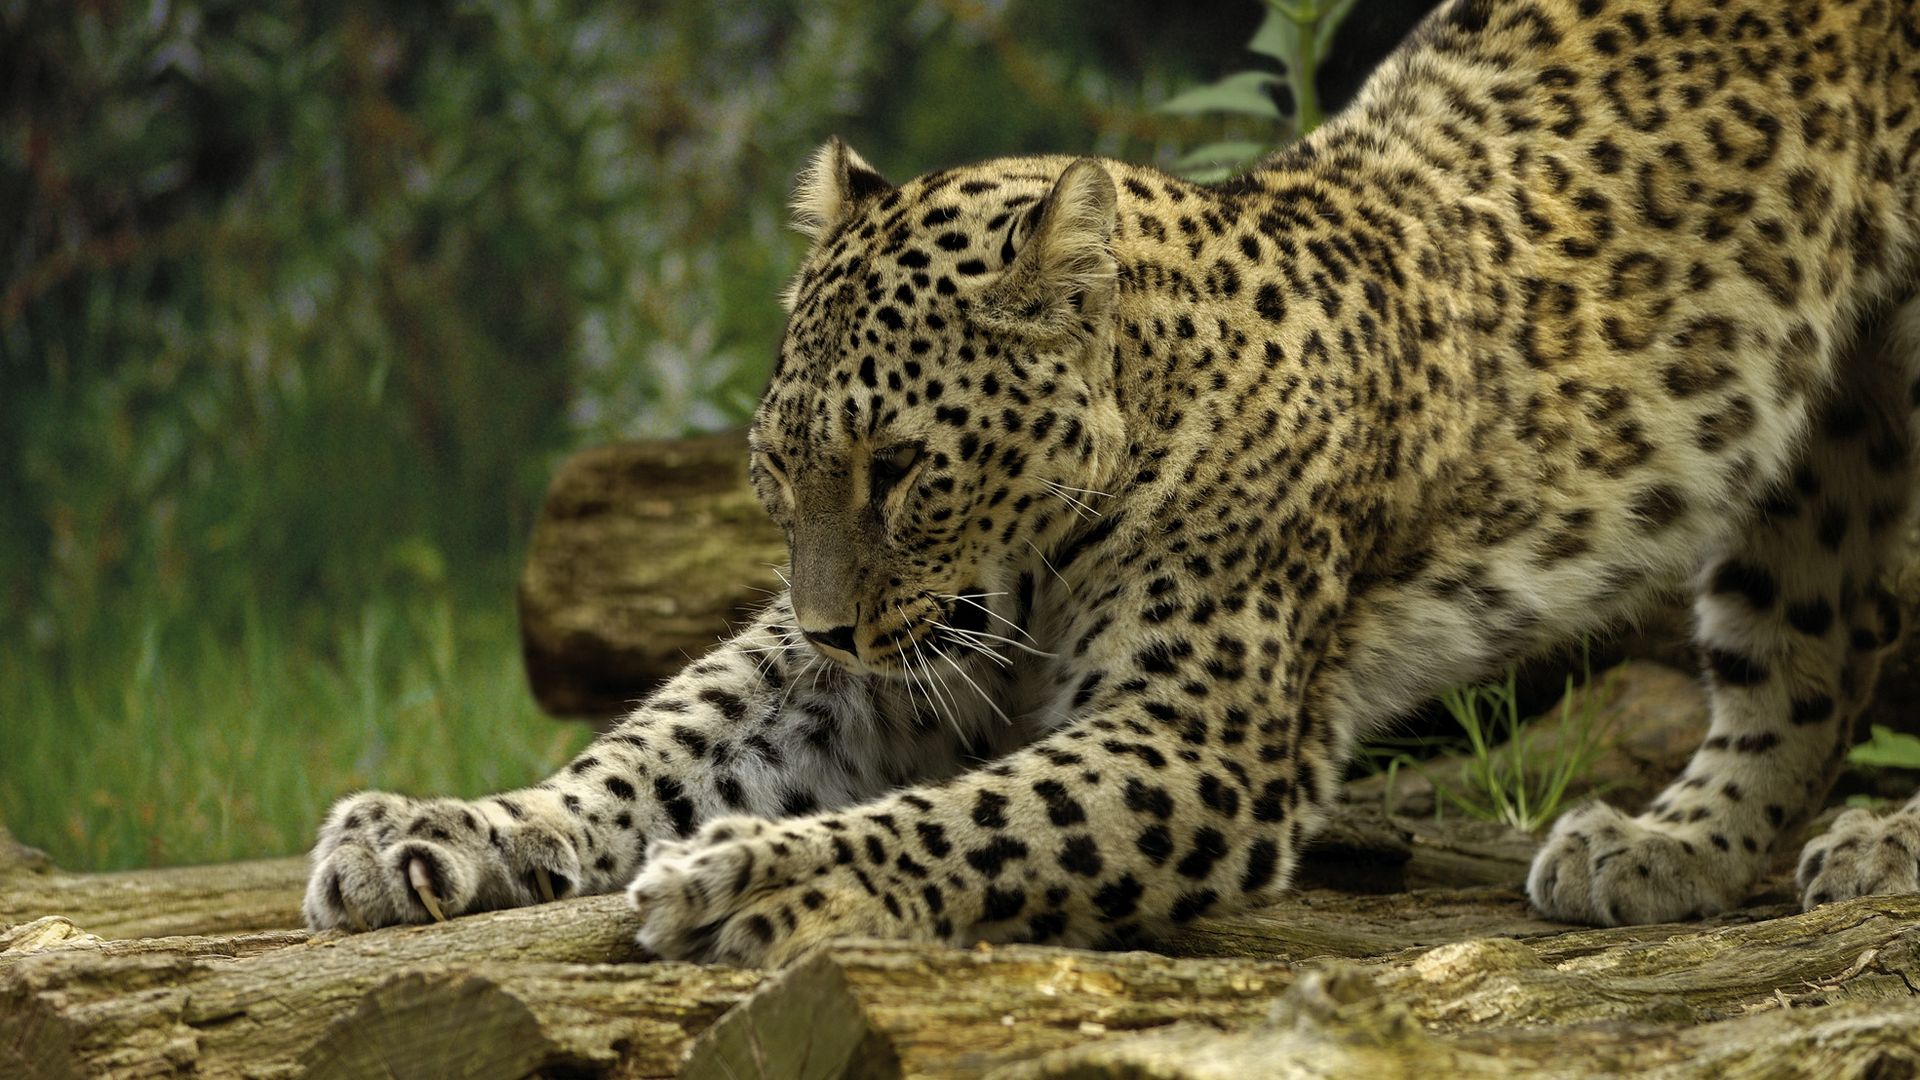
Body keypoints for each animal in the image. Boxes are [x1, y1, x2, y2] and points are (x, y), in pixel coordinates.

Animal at [304, 0, 1920, 965]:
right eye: (776, 469)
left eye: (901, 470)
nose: (828, 623)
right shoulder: (889, 662)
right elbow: (662, 739)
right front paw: (427, 832)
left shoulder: (1198, 742)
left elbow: (975, 820)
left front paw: (757, 877)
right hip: (1836, 419)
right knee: (1812, 649)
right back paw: (1664, 853)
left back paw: (1871, 849)